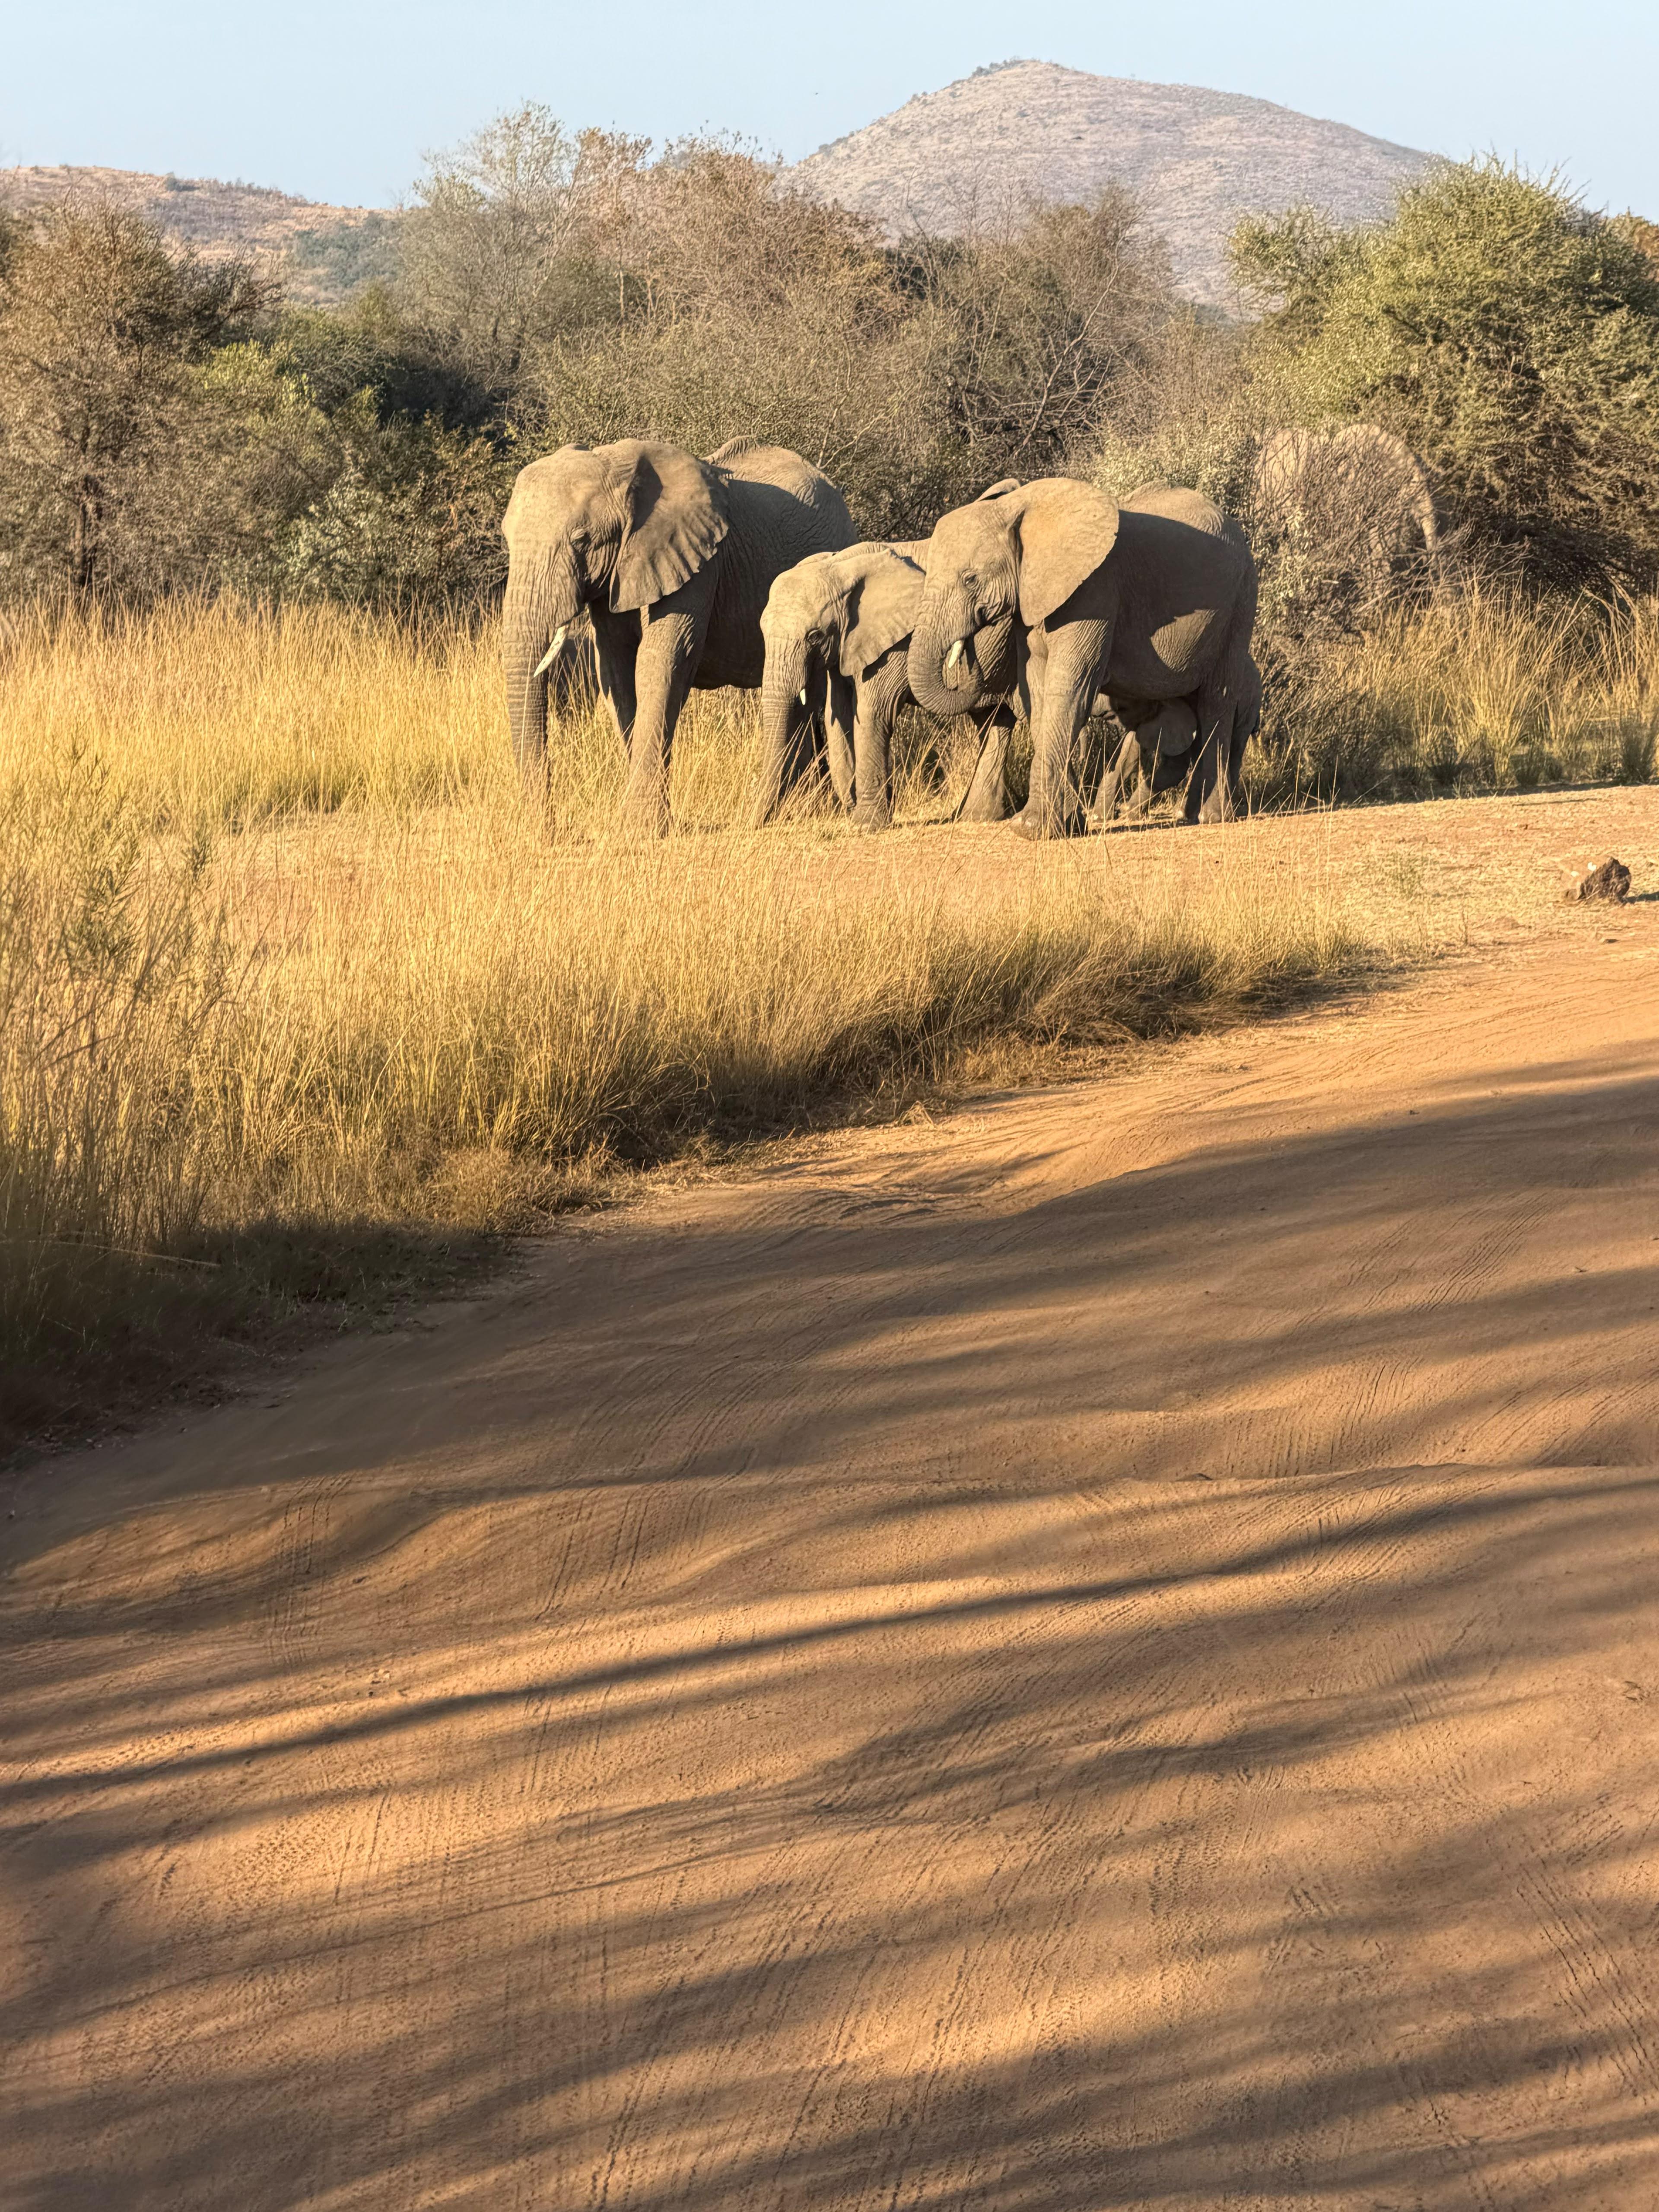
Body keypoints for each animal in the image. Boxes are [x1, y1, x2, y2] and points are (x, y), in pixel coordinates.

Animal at [501, 436, 855, 833]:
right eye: (507, 540)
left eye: (581, 539)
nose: (552, 830)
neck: (619, 468)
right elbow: (616, 673)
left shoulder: (698, 559)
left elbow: (662, 662)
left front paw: (640, 828)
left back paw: (808, 809)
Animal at [753, 540, 1020, 829]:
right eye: (763, 632)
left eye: (815, 636)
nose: (758, 824)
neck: (840, 565)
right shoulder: (846, 647)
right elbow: (838, 715)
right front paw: (856, 803)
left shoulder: (896, 642)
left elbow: (872, 712)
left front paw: (865, 824)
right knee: (994, 720)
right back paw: (976, 816)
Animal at [909, 474, 1260, 837]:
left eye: (971, 579)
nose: (967, 650)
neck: (1018, 508)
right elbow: (1038, 690)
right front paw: (1067, 825)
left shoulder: (1095, 590)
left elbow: (1068, 686)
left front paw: (1030, 829)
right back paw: (1188, 815)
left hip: (1242, 600)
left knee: (1217, 700)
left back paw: (1211, 817)